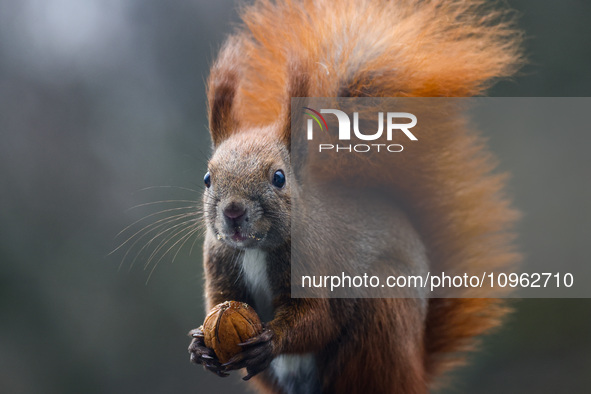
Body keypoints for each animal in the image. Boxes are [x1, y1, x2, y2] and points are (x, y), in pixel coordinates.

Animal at [188, 1, 524, 392]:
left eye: (279, 177)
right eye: (207, 178)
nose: (233, 212)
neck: (256, 250)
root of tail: (414, 371)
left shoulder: (316, 263)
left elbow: (318, 321)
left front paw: (270, 341)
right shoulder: (220, 264)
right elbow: (220, 303)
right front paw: (199, 346)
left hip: (382, 315)